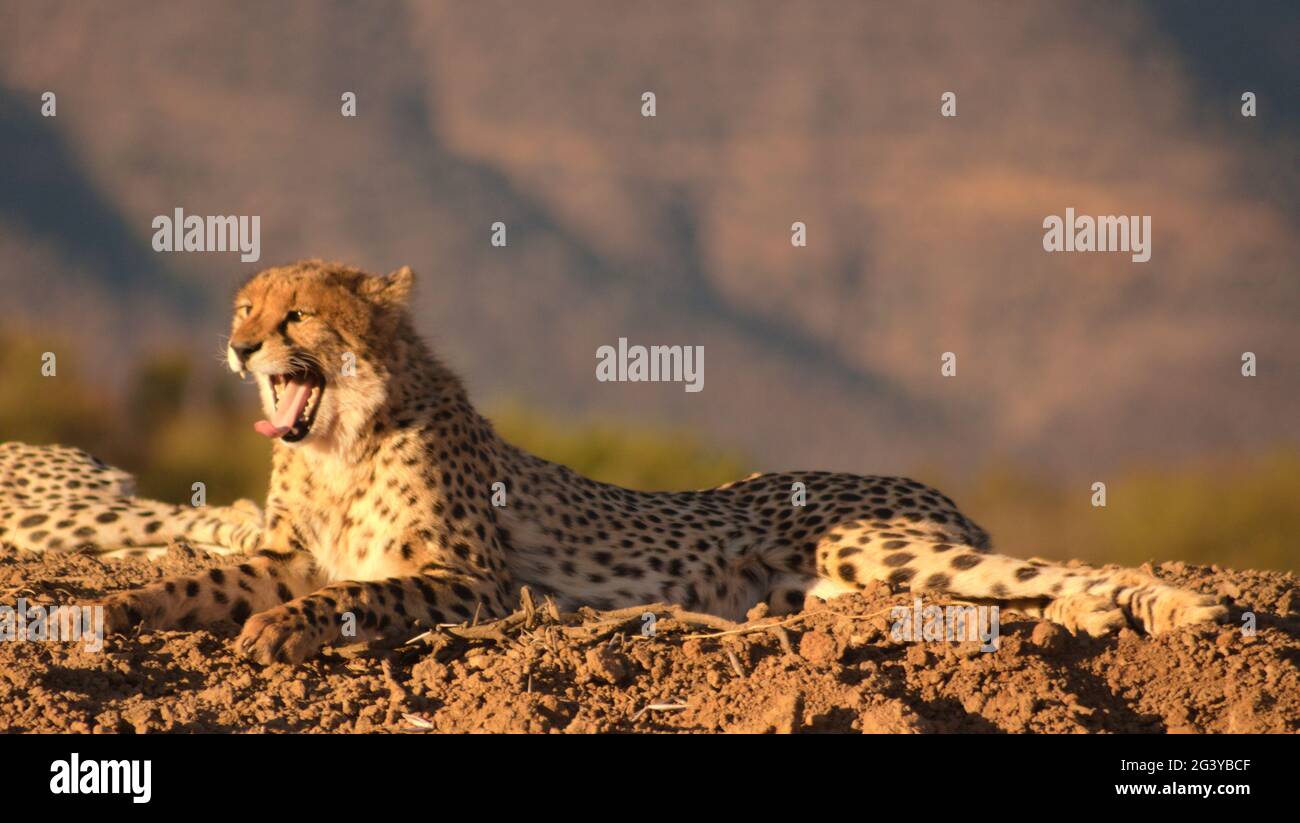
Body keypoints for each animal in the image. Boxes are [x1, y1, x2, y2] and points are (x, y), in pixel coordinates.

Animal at [22, 260, 1227, 665]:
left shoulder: (478, 583)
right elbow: (198, 579)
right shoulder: (282, 551)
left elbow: (357, 595)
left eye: (295, 315)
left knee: (1052, 574)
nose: (237, 347)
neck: (339, 440)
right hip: (845, 585)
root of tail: (924, 486)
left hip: (886, 549)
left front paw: (284, 631)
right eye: (243, 308)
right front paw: (104, 609)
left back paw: (1174, 609)